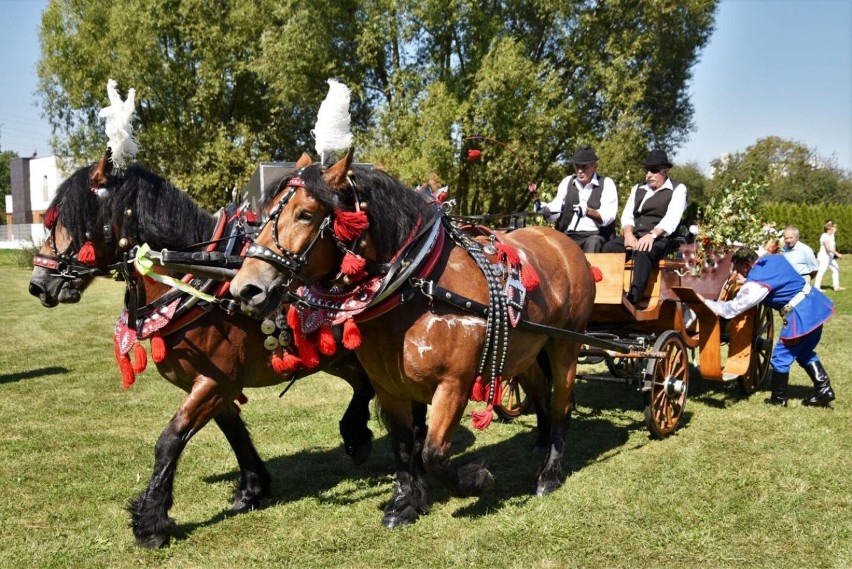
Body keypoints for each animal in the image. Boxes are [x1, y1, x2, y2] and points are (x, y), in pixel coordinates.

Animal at [28, 159, 378, 544]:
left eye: (76, 220)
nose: (38, 284)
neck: (196, 281)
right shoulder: (213, 385)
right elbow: (233, 431)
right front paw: (252, 489)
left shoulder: (215, 382)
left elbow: (170, 439)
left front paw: (151, 521)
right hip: (338, 357)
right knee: (363, 384)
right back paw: (357, 435)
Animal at [230, 150, 596, 524]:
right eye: (263, 215)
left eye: (305, 213)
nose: (245, 288)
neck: (416, 286)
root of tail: (562, 241)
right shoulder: (388, 386)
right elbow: (404, 446)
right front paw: (404, 503)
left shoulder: (454, 384)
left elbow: (434, 453)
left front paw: (476, 480)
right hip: (527, 348)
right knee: (538, 389)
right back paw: (541, 441)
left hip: (566, 342)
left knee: (562, 403)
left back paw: (549, 474)